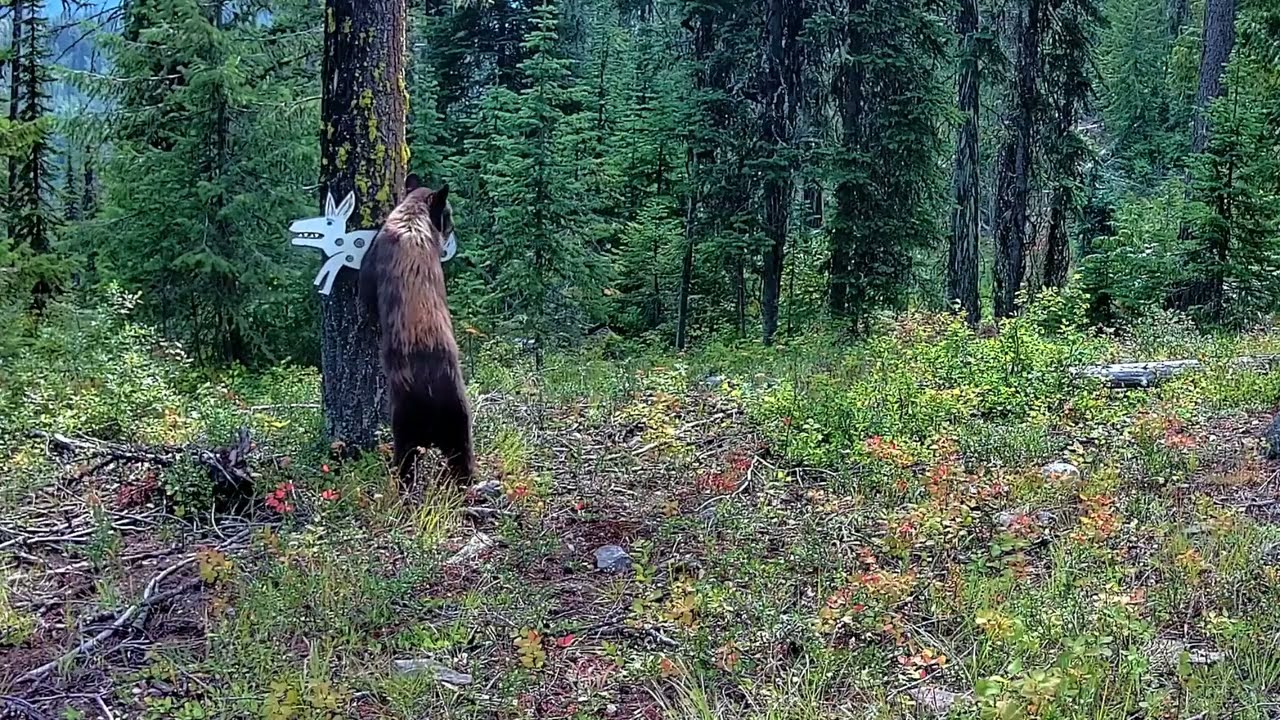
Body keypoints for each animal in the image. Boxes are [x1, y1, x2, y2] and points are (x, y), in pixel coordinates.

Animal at [359, 174, 475, 483]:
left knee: (404, 465)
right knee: (464, 461)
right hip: (459, 423)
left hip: (404, 424)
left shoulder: (374, 261)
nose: (452, 228)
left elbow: (365, 291)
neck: (412, 218)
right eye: (449, 214)